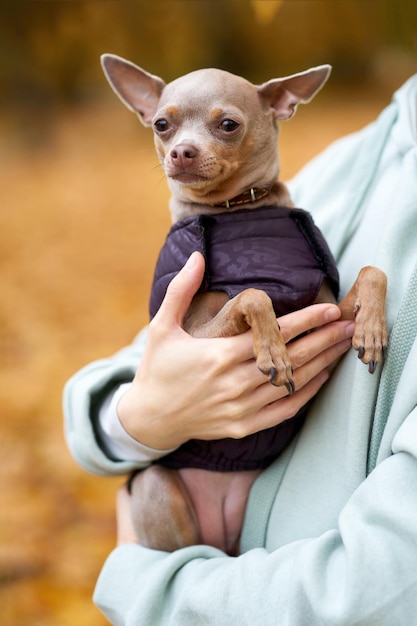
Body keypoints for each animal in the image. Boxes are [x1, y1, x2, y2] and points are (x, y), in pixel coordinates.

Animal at [101, 53, 386, 552]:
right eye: (161, 125)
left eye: (228, 124)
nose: (181, 152)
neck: (240, 210)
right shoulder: (196, 335)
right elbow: (253, 294)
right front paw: (274, 350)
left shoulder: (330, 312)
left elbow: (373, 271)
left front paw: (372, 331)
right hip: (160, 490)